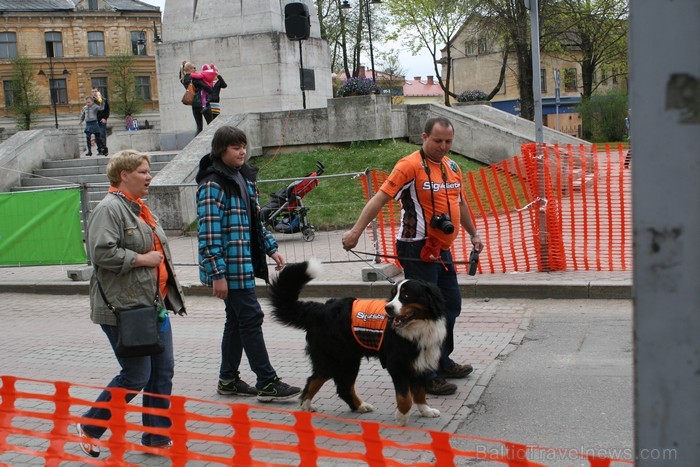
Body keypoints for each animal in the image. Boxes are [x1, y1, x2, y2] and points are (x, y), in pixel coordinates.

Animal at [270, 260, 446, 428]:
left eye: (406, 295)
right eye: (393, 295)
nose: (388, 308)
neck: (418, 327)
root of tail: (321, 309)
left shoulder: (419, 362)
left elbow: (420, 392)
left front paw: (426, 410)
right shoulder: (397, 364)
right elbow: (405, 397)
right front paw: (401, 418)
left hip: (347, 360)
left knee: (340, 386)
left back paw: (359, 406)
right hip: (336, 360)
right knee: (317, 381)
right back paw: (306, 407)